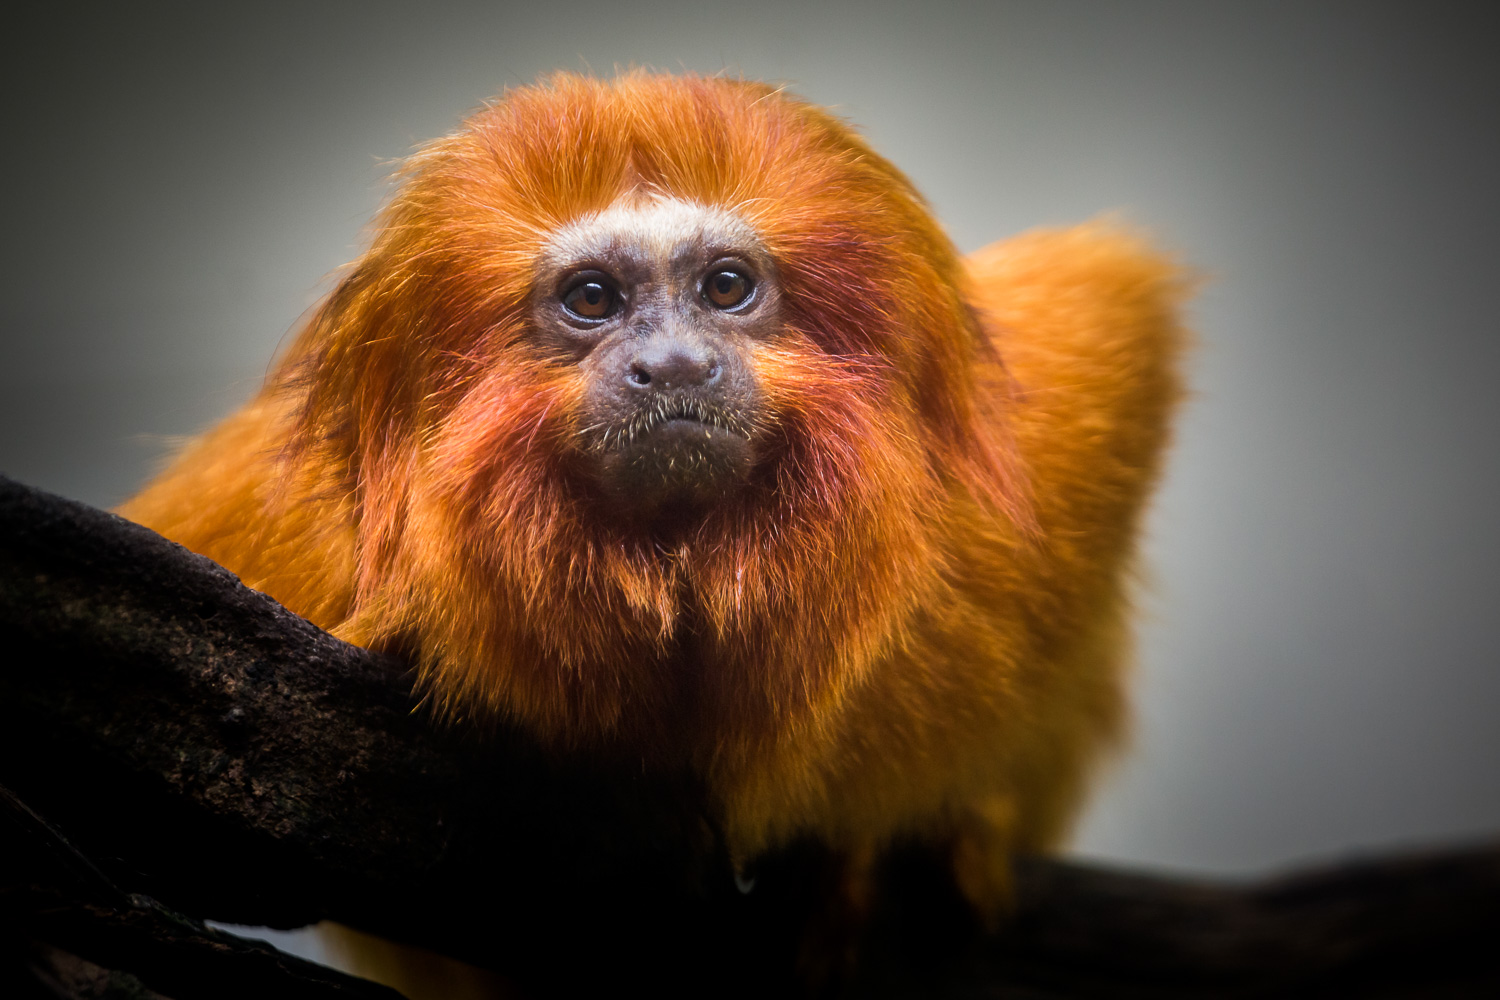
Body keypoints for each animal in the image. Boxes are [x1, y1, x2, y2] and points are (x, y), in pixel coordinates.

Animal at [118, 71, 1185, 981]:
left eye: (725, 287)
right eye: (593, 298)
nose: (672, 366)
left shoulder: (1031, 466)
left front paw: (897, 837)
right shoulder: (283, 535)